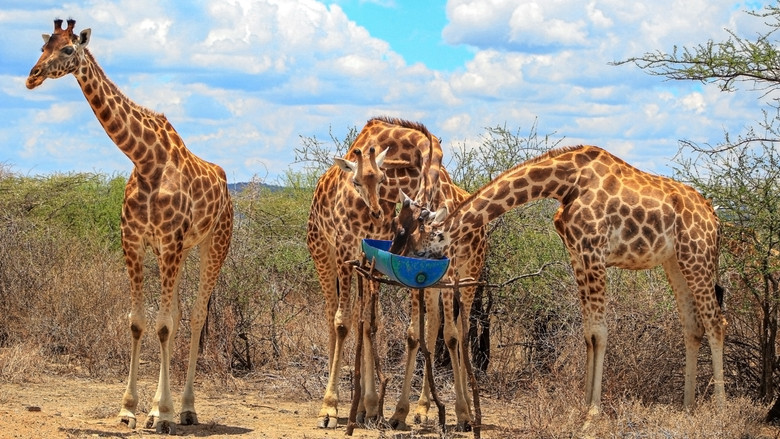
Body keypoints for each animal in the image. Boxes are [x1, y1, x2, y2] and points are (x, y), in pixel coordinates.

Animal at [26, 20, 234, 434]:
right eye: (43, 47)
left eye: (68, 49)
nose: (32, 76)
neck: (145, 158)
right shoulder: (135, 242)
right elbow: (139, 322)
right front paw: (130, 410)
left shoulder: (168, 242)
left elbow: (163, 326)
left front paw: (164, 413)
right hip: (183, 250)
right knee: (181, 315)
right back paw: (167, 409)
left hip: (213, 244)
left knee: (197, 316)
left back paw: (187, 409)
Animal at [395, 145, 727, 412]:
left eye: (420, 251)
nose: (409, 279)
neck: (566, 183)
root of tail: (714, 215)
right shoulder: (578, 255)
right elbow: (589, 333)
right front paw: (584, 405)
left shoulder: (594, 253)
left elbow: (600, 332)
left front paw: (592, 415)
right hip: (675, 261)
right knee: (692, 327)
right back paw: (687, 407)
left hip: (698, 256)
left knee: (716, 322)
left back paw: (720, 409)